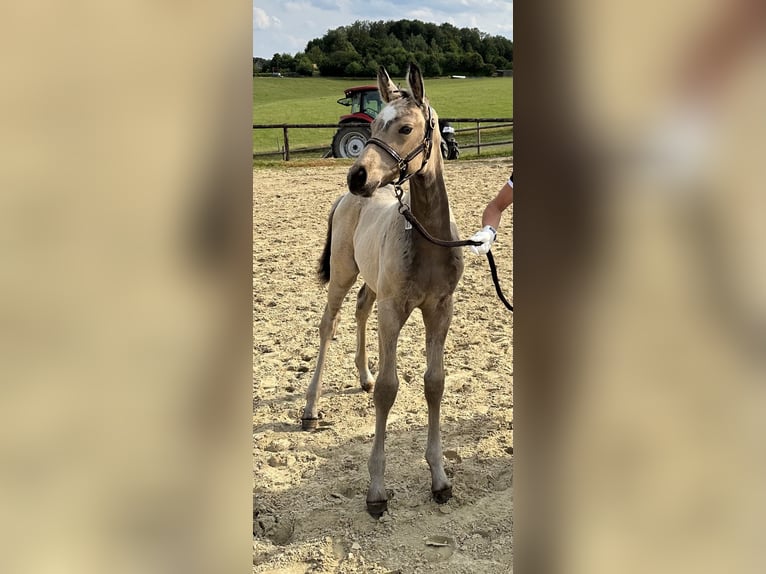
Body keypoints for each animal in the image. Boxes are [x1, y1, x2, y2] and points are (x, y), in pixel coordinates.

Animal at [304, 63, 464, 516]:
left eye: (406, 128)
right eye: (371, 125)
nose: (357, 175)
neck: (428, 240)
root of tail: (344, 200)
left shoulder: (440, 308)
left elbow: (434, 382)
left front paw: (439, 478)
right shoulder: (393, 309)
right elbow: (391, 390)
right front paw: (376, 489)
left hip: (371, 281)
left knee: (360, 308)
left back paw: (363, 376)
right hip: (343, 274)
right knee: (329, 324)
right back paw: (311, 408)